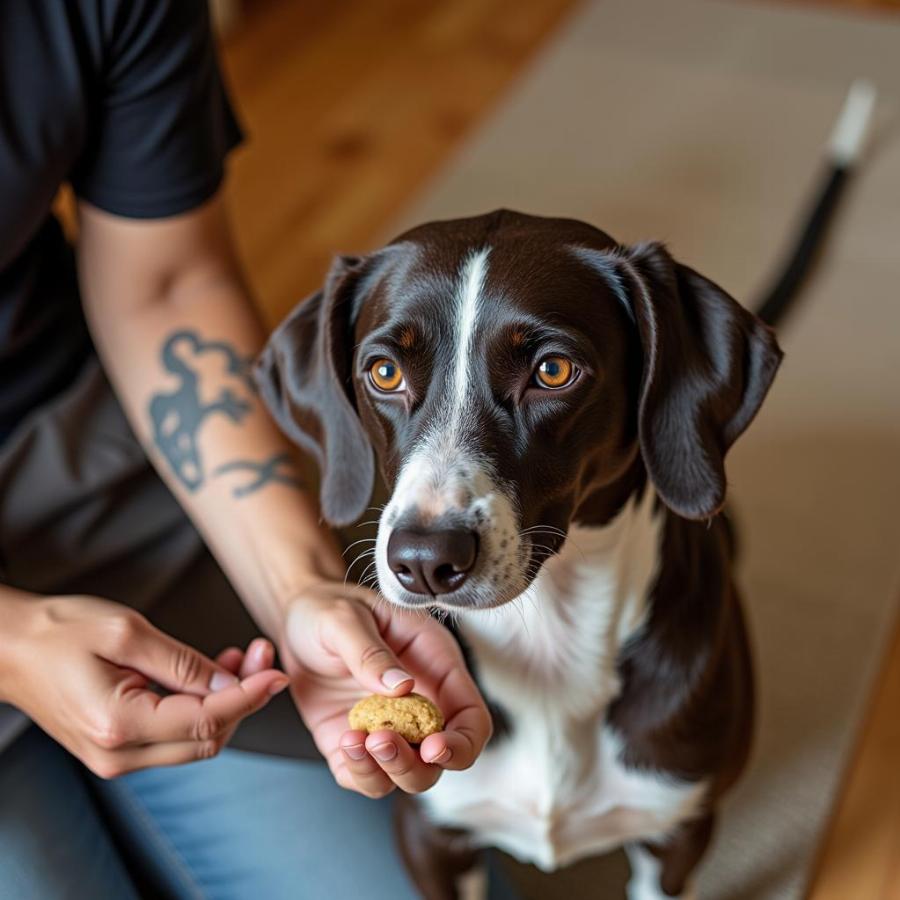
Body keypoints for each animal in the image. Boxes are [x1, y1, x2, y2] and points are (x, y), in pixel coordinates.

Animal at [253, 211, 780, 900]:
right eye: (384, 373)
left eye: (553, 371)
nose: (424, 559)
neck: (548, 643)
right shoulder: (431, 836)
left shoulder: (677, 836)